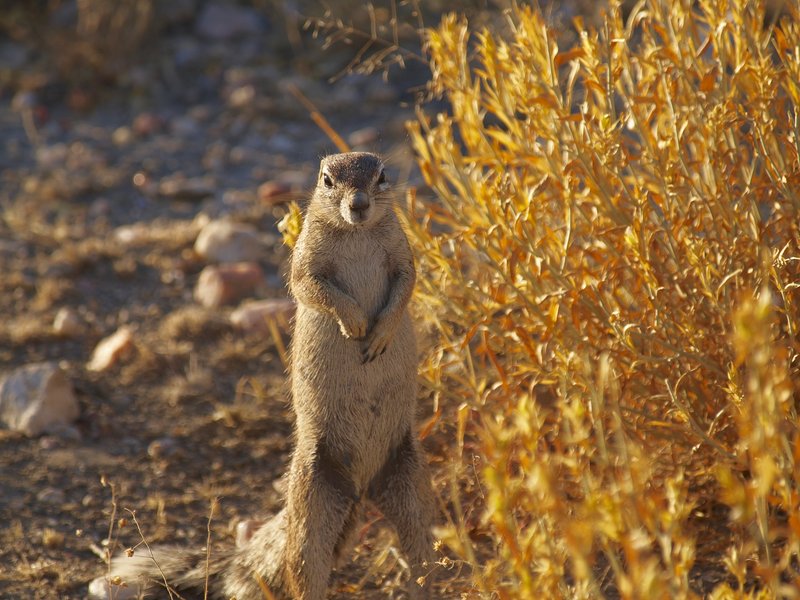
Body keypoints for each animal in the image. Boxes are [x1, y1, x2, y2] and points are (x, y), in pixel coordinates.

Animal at [92, 152, 435, 600]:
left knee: (421, 556)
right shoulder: (306, 263)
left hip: (411, 488)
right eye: (327, 180)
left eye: (382, 176)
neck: (356, 232)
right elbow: (312, 288)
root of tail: (361, 487)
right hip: (312, 507)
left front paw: (380, 333)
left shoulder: (402, 256)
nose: (359, 204)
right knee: (303, 571)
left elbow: (406, 286)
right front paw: (356, 322)